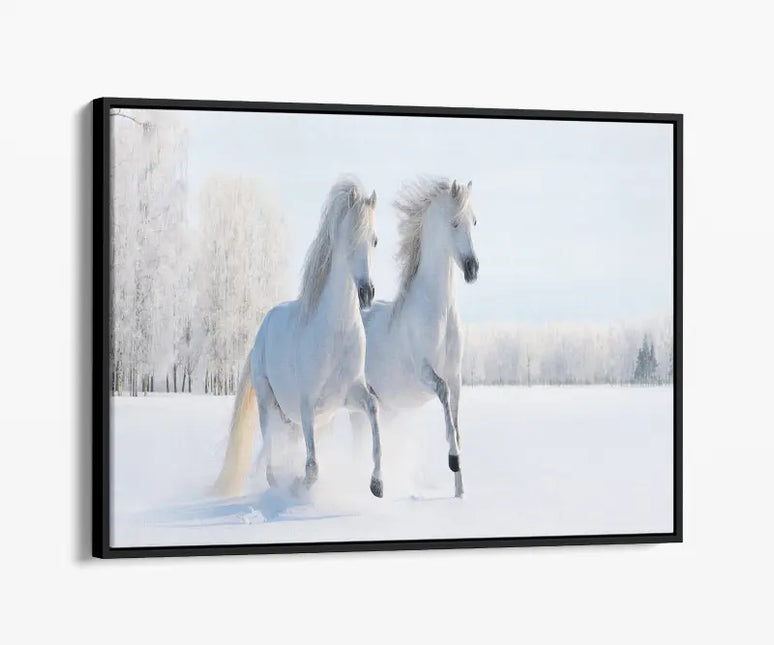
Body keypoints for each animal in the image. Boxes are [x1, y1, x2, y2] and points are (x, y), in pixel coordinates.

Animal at [214, 177, 384, 499]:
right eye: (349, 238)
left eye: (375, 240)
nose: (366, 293)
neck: (335, 332)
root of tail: (261, 331)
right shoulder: (308, 407)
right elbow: (313, 467)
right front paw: (297, 484)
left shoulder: (348, 396)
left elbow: (373, 411)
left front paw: (377, 484)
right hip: (268, 403)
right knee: (269, 447)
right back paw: (274, 482)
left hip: (291, 420)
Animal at [351, 177, 479, 498]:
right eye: (454, 222)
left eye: (474, 221)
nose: (472, 269)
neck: (438, 312)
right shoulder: (425, 373)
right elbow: (443, 398)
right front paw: (453, 459)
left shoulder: (456, 376)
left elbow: (456, 420)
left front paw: (460, 491)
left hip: (386, 406)